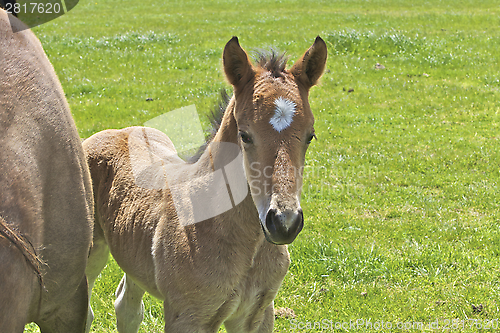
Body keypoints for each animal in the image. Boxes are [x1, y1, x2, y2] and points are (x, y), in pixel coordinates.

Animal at [85, 36, 328, 332]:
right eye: (245, 135)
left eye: (310, 135)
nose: (284, 223)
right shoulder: (187, 316)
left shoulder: (257, 313)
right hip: (91, 250)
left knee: (127, 307)